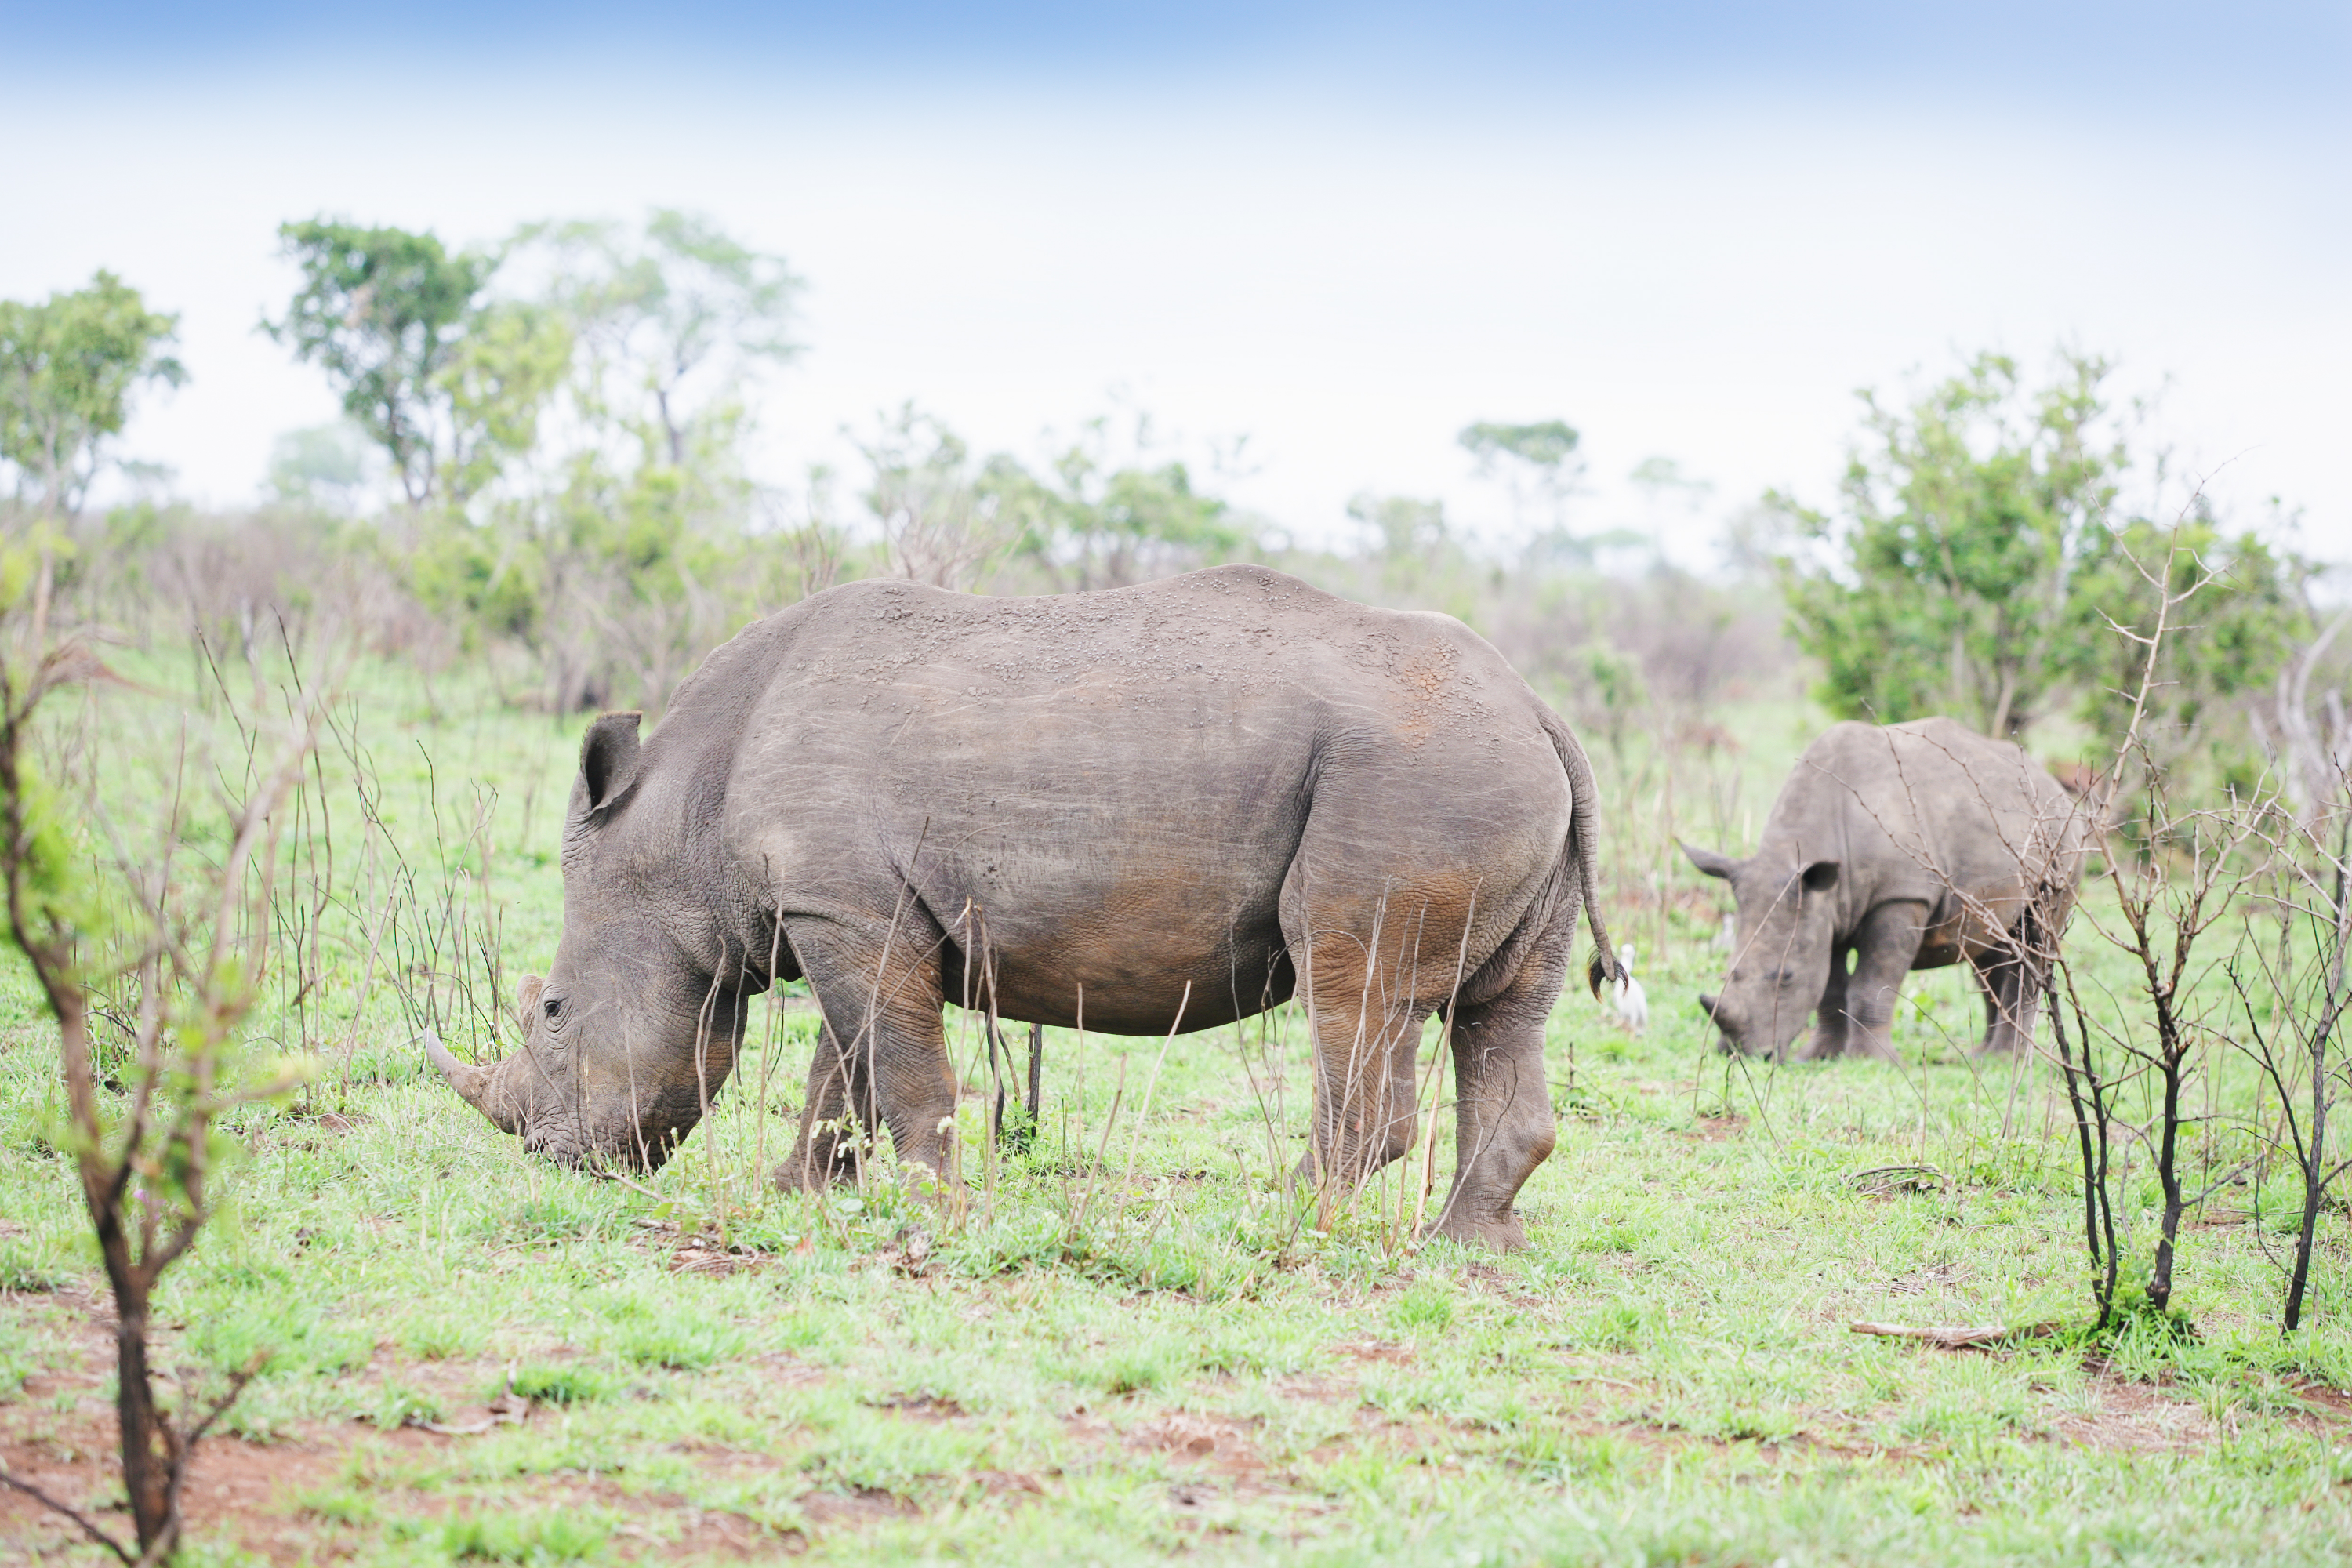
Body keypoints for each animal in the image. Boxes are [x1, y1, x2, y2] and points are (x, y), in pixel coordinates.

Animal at [425, 565, 1617, 1250]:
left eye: (553, 1013)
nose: (555, 1158)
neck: (677, 818)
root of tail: (1543, 711)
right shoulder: (839, 909)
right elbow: (841, 1069)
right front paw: (795, 1197)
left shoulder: (843, 909)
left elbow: (897, 1070)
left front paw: (933, 1214)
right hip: (1485, 774)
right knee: (1501, 1012)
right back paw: (1466, 1251)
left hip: (1414, 776)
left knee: (1352, 989)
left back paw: (1275, 1228)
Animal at [1680, 717, 2090, 1062]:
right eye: (1728, 974)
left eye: (1786, 977)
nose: (1740, 1054)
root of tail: (2056, 787)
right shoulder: (1825, 907)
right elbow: (1829, 987)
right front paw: (1819, 1057)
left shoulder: (1900, 896)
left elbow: (1872, 983)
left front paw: (1869, 1060)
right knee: (1989, 948)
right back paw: (1980, 1057)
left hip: (2063, 842)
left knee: (2032, 942)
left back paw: (2006, 1060)